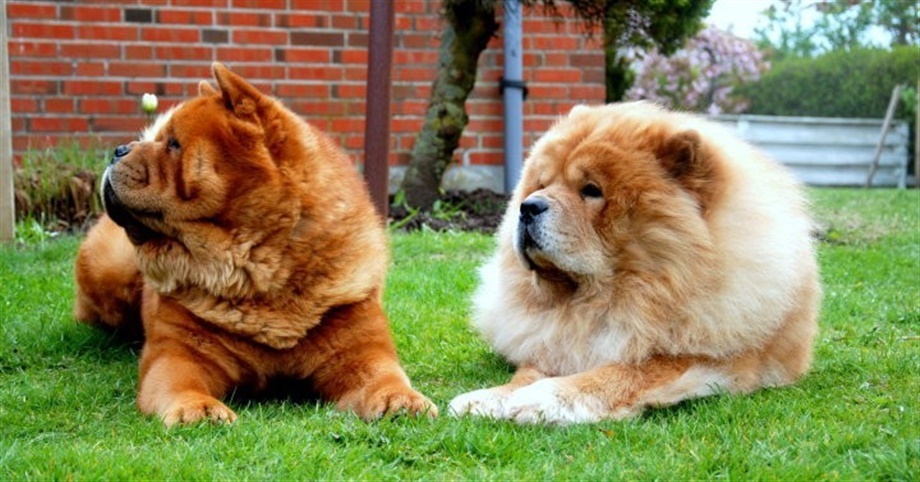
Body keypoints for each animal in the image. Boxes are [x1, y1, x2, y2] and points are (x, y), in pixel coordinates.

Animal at [74, 63, 436, 426]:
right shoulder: (180, 355)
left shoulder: (360, 348)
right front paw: (199, 409)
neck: (257, 271)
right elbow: (182, 384)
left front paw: (402, 400)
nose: (118, 149)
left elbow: (384, 375)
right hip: (110, 267)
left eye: (174, 144)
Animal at [448, 102, 821, 424]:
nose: (528, 206)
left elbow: (624, 372)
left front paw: (542, 398)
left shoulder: (702, 356)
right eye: (541, 184)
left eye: (591, 190)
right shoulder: (554, 341)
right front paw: (489, 397)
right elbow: (528, 370)